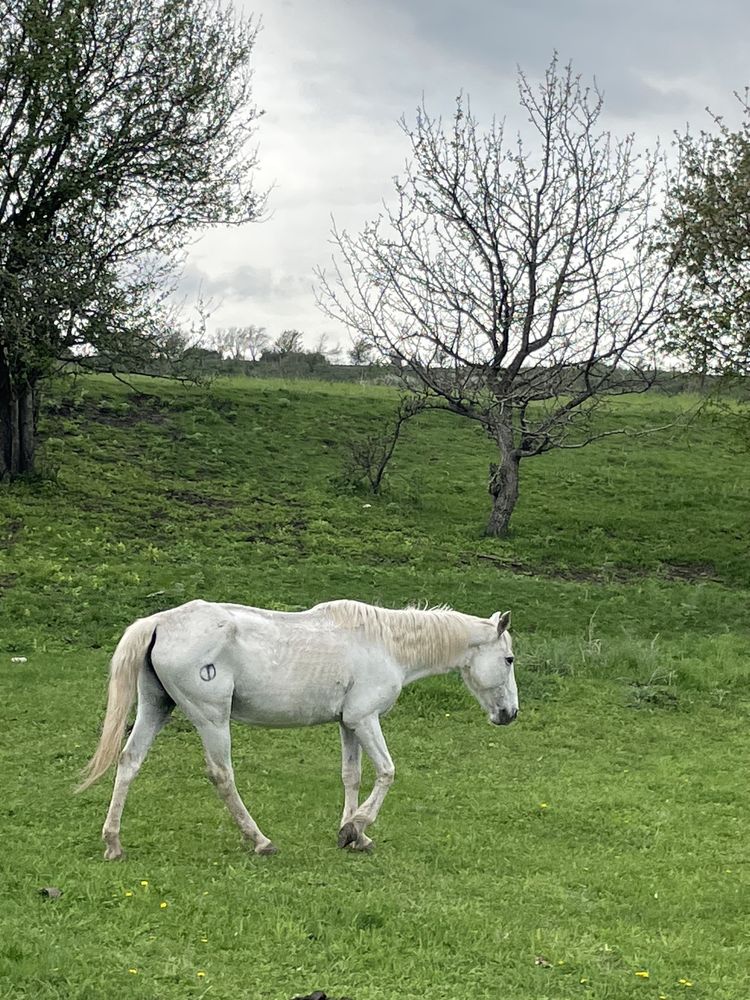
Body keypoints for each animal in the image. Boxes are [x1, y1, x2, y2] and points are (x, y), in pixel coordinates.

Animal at [79, 596, 520, 856]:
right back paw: (260, 841)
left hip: (157, 707)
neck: (386, 644)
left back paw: (113, 842)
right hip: (211, 718)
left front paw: (352, 833)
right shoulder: (365, 719)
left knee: (129, 762)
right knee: (222, 775)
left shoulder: (348, 724)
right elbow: (387, 772)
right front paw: (358, 827)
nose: (510, 714)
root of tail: (158, 622)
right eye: (510, 659)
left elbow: (351, 776)